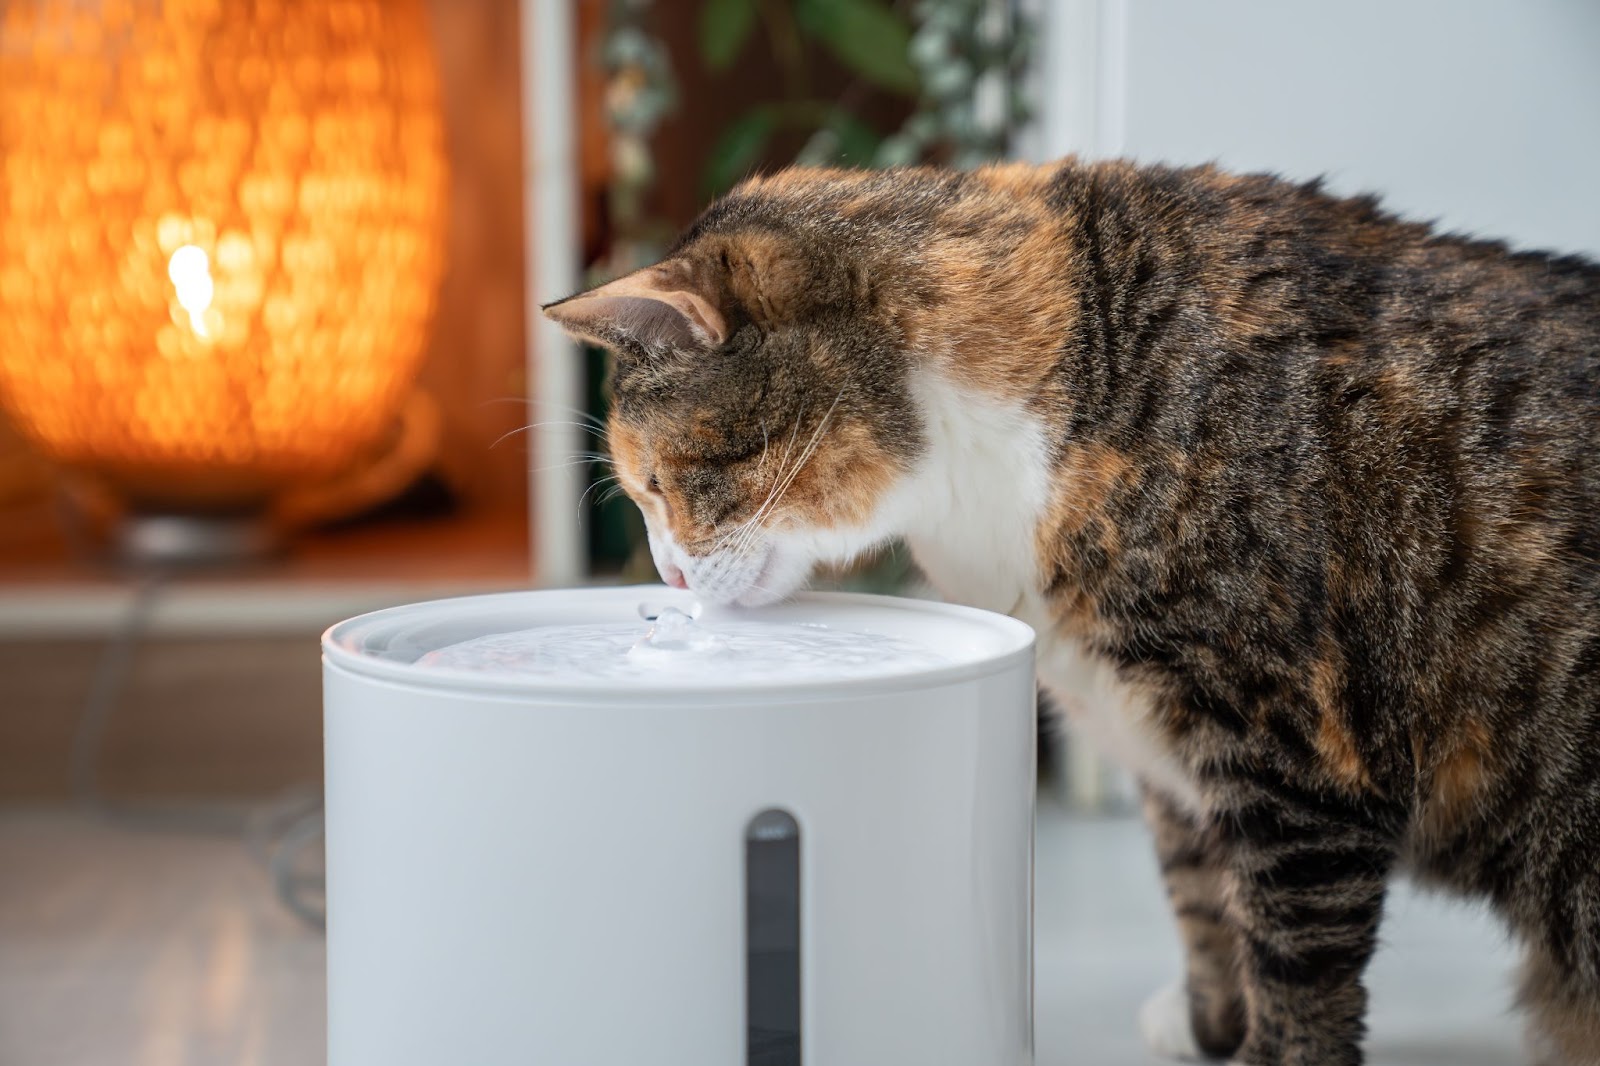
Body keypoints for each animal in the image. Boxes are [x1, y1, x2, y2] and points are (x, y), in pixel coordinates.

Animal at [547, 160, 1600, 1062]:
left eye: (656, 481)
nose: (670, 581)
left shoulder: (1298, 755)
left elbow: (1295, 959)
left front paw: (1266, 1050)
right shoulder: (1165, 749)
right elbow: (1200, 895)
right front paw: (1209, 1022)